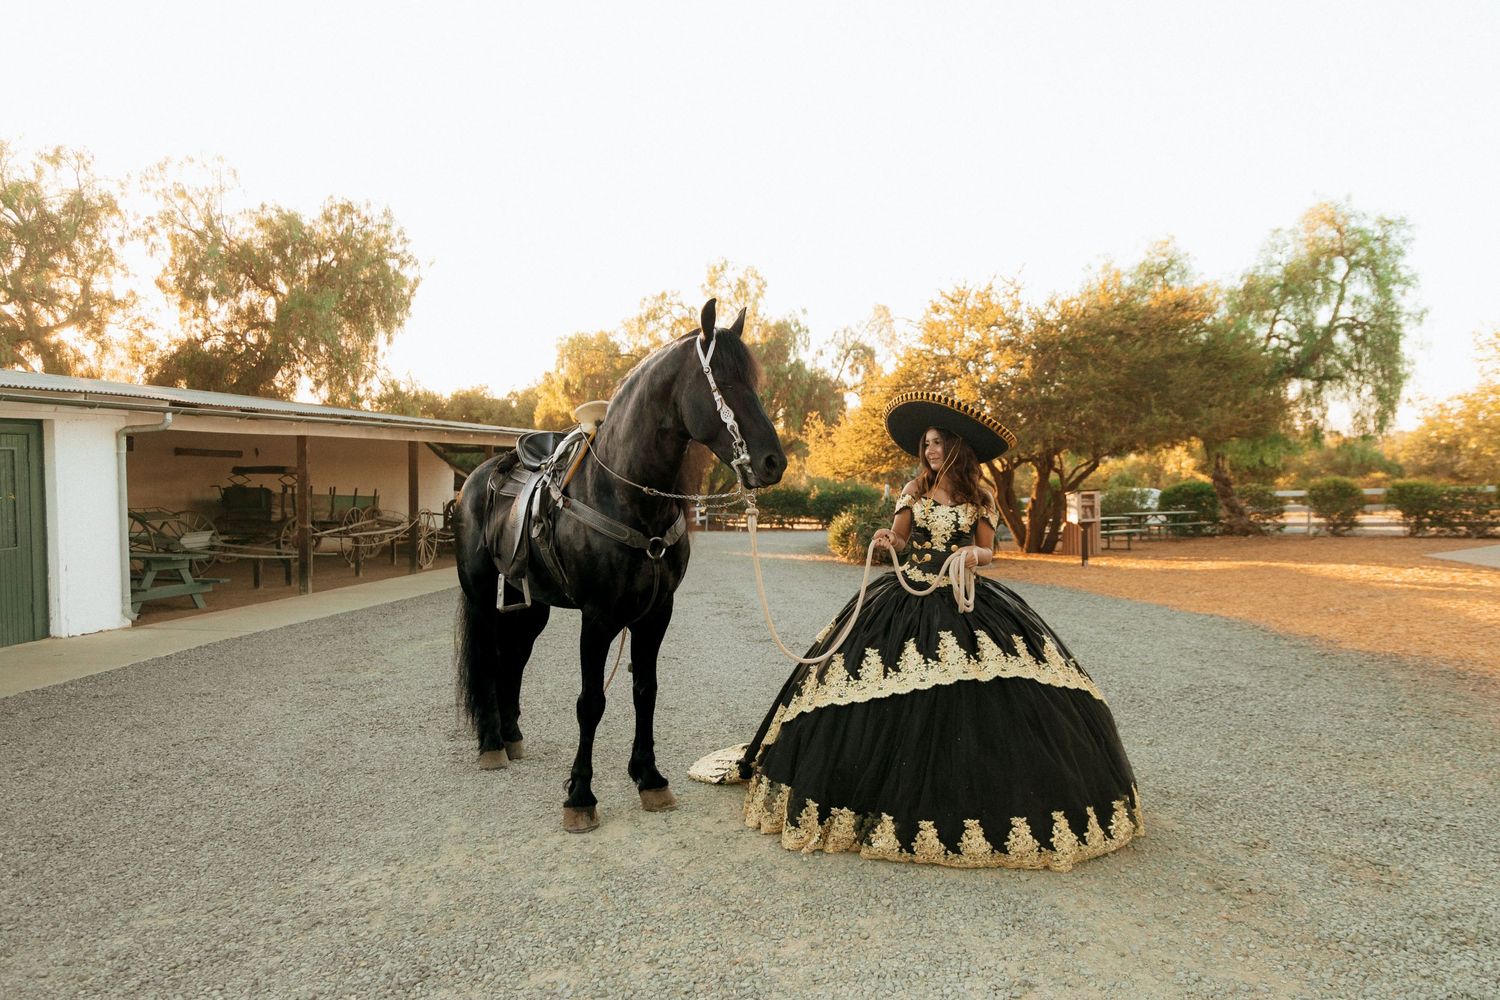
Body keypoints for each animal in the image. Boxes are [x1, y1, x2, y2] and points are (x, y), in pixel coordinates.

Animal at [454, 299, 786, 833]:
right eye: (723, 381)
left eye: (752, 380)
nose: (773, 461)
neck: (624, 494)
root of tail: (475, 480)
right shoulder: (598, 617)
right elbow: (591, 702)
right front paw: (579, 795)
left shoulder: (656, 613)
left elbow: (645, 690)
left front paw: (649, 778)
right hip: (483, 597)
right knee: (488, 659)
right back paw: (490, 744)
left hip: (532, 606)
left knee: (514, 658)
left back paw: (511, 734)